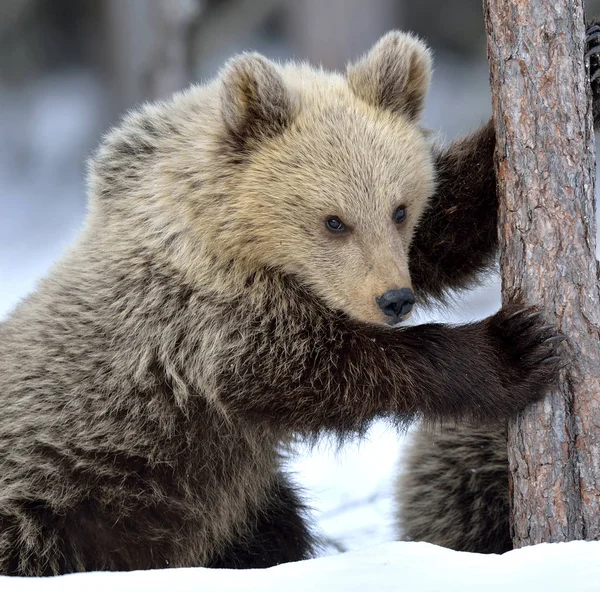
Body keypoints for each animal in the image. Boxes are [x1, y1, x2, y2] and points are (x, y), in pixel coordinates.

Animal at [0, 30, 564, 576]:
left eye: (400, 209)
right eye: (334, 220)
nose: (395, 300)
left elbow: (445, 232)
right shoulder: (204, 321)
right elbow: (312, 367)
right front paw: (511, 350)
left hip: (232, 508)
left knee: (272, 528)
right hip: (63, 504)